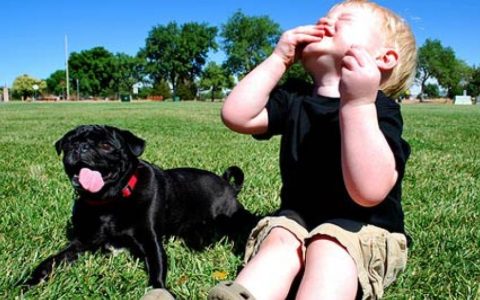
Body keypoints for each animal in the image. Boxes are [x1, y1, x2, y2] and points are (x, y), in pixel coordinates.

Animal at [22, 124, 255, 296]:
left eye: (106, 145)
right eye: (71, 143)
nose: (81, 147)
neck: (110, 202)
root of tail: (228, 185)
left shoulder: (150, 242)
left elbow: (156, 273)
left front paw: (159, 290)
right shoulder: (80, 243)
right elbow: (50, 262)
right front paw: (27, 282)